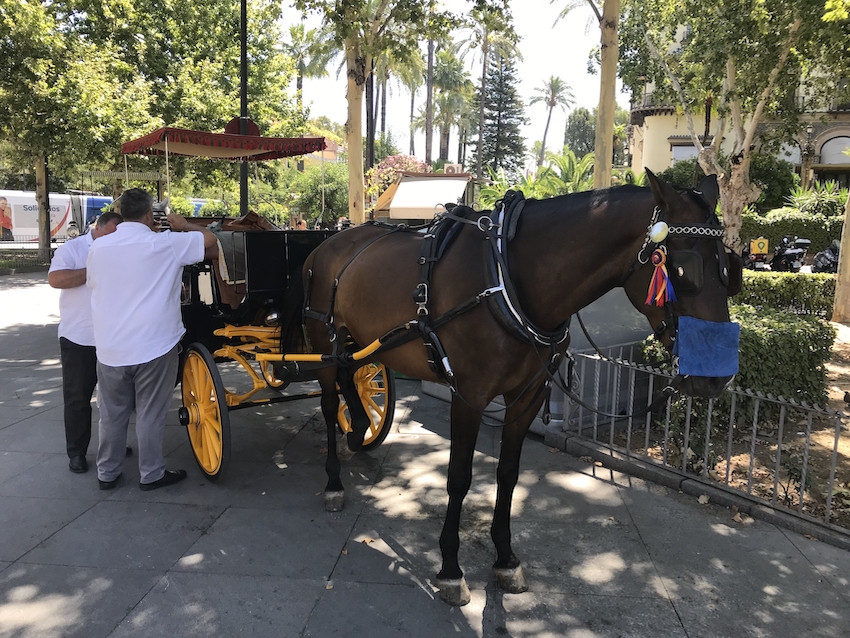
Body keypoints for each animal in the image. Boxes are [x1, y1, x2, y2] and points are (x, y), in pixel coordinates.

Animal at [302, 169, 740, 604]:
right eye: (682, 270)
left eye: (730, 270)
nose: (718, 376)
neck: (507, 275)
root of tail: (330, 242)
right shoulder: (469, 397)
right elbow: (459, 477)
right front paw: (450, 568)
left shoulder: (529, 396)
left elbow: (508, 473)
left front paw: (505, 558)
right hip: (324, 344)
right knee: (328, 402)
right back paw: (334, 482)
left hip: (356, 344)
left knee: (351, 379)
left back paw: (359, 429)